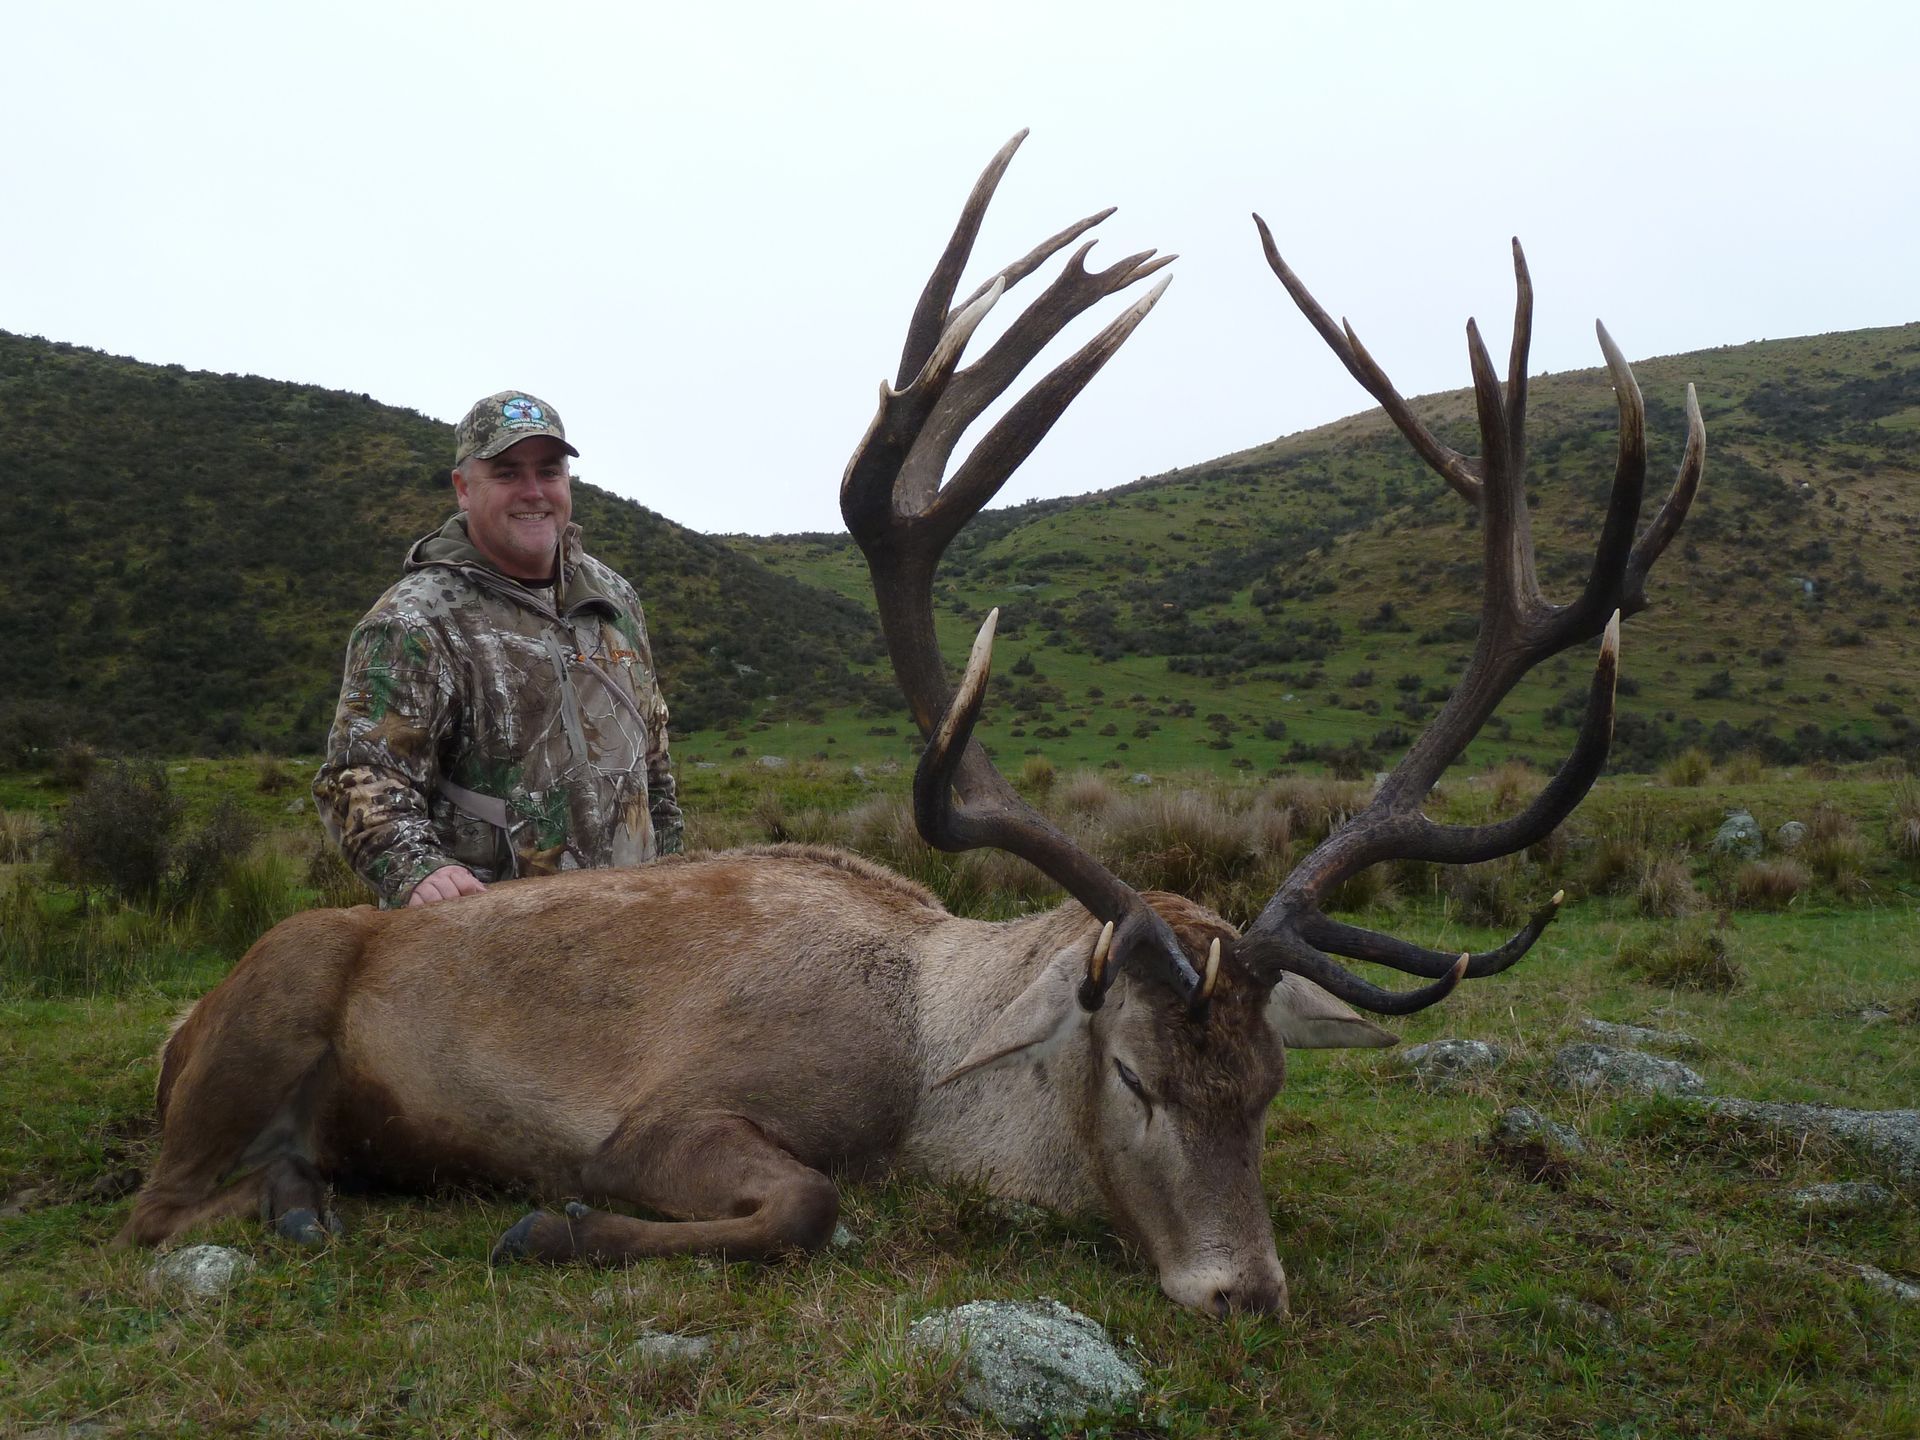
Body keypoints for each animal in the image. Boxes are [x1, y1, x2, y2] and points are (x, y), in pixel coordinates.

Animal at [116, 133, 1704, 1317]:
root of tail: (183, 1021)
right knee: (155, 1207)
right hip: (274, 996)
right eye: (1135, 1075)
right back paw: (298, 1208)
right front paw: (548, 1227)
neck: (928, 1073)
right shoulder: (664, 1114)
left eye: (1268, 1089)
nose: (1244, 1291)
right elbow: (807, 1203)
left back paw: (311, 1194)